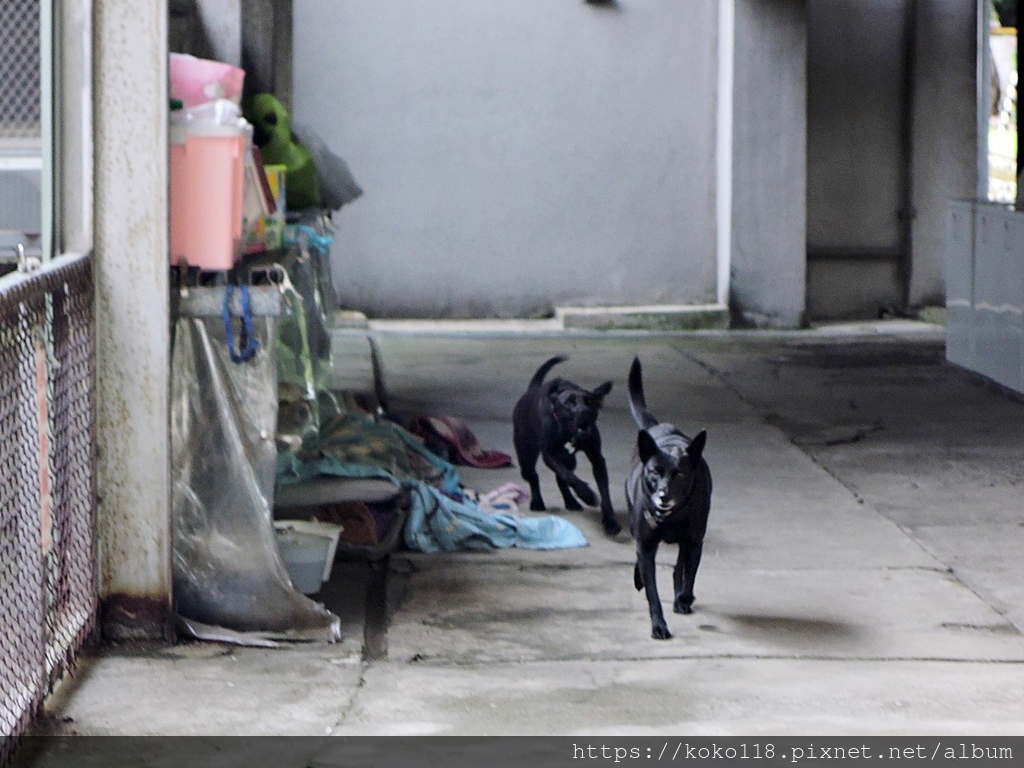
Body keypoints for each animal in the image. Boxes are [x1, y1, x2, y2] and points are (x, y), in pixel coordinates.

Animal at [512, 360, 622, 536]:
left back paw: (571, 502)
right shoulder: (549, 455)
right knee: (534, 476)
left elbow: (604, 492)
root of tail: (530, 391)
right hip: (526, 456)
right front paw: (587, 495)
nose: (584, 412)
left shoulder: (597, 458)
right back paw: (537, 502)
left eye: (589, 402)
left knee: (560, 478)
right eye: (569, 403)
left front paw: (611, 522)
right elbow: (568, 476)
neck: (568, 433)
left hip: (570, 459)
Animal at [622, 358, 712, 638]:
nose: (663, 496)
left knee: (680, 568)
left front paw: (683, 598)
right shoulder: (646, 545)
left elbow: (687, 575)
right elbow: (653, 592)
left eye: (680, 475)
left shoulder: (694, 541)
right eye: (654, 472)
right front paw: (659, 626)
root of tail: (656, 428)